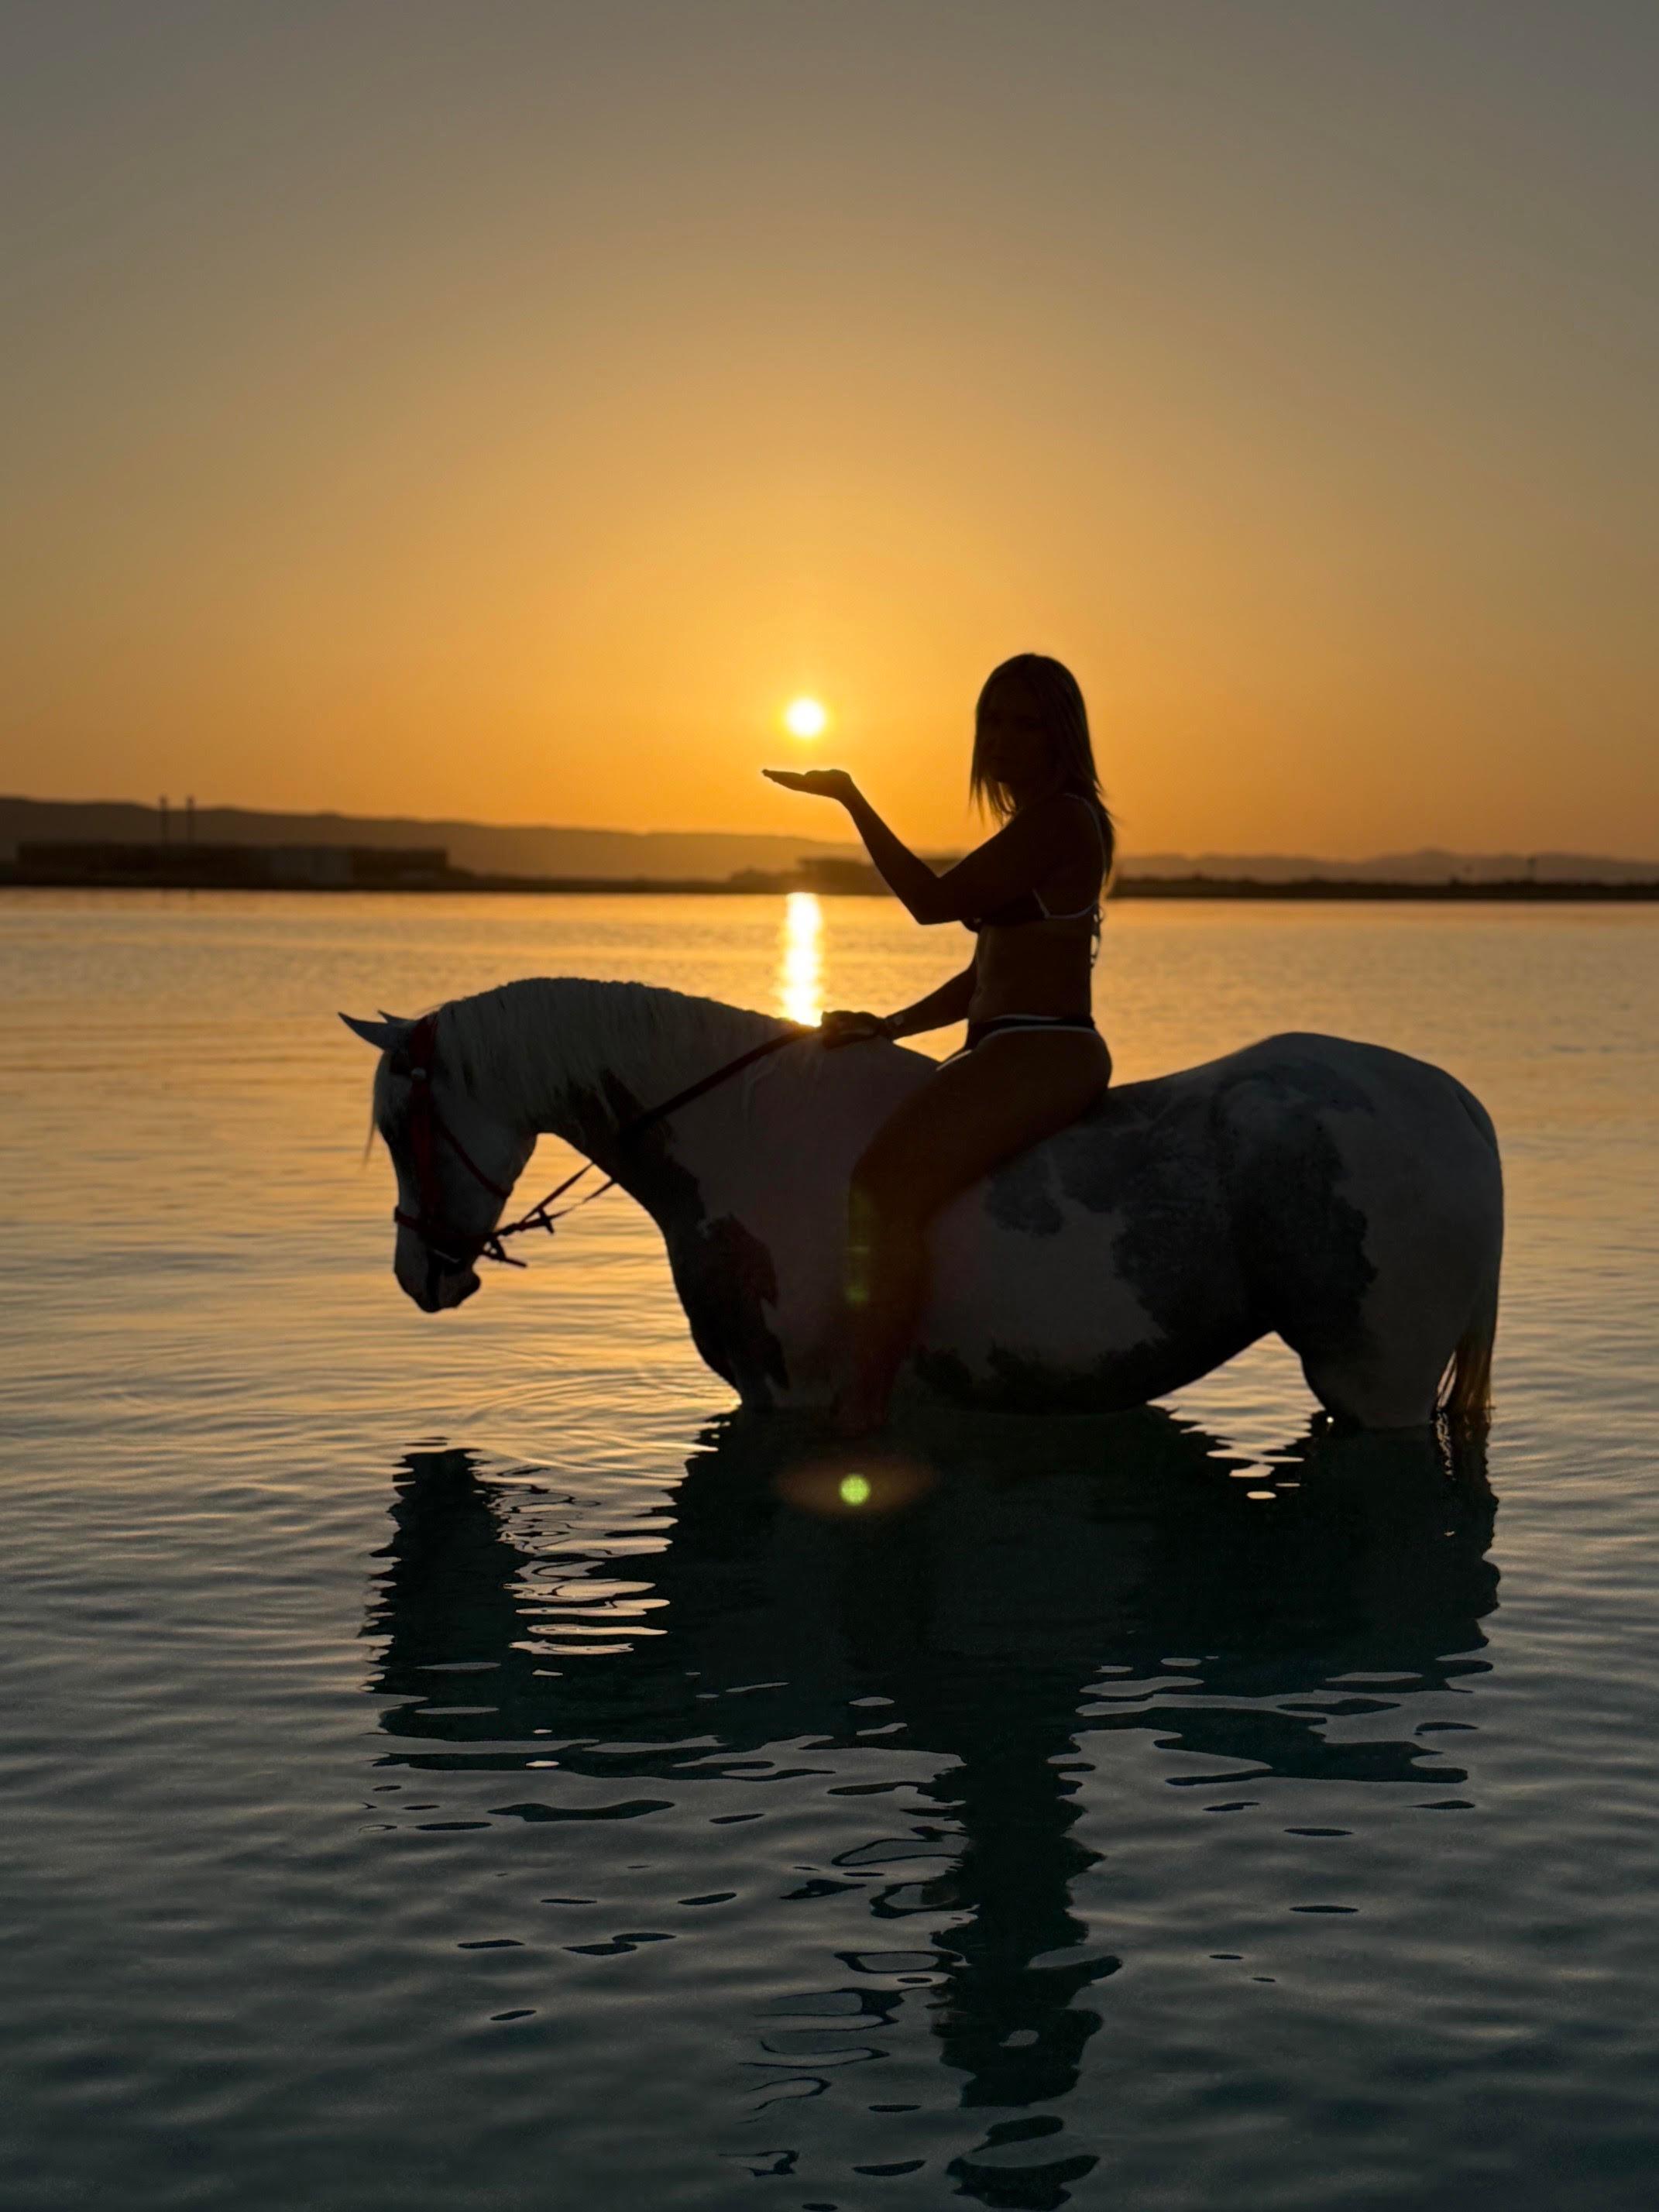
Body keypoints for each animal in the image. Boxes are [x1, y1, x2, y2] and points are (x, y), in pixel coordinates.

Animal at [340, 976, 1502, 1428]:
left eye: (402, 1126)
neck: (742, 1140)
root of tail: (1455, 1103)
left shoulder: (793, 1397)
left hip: (1379, 1380)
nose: (417, 1273)